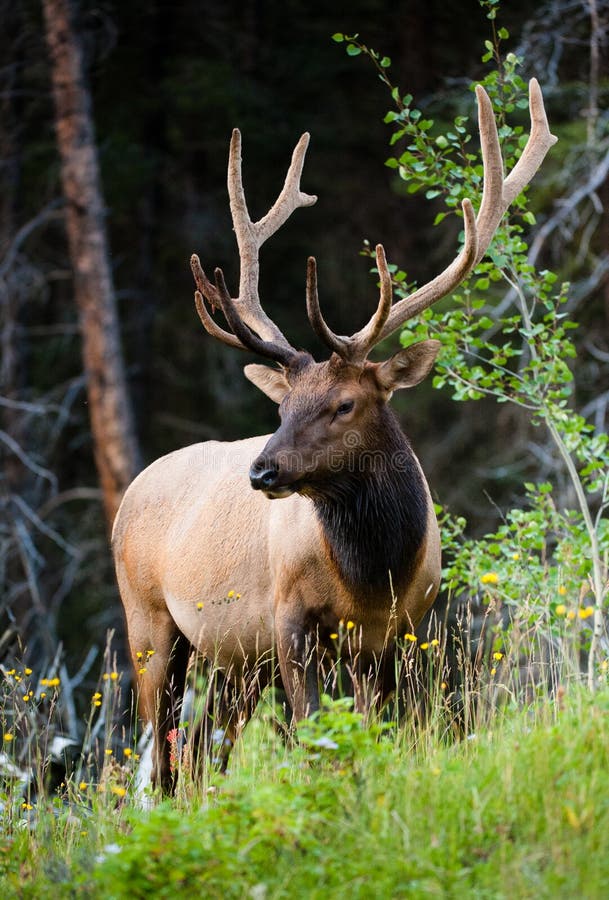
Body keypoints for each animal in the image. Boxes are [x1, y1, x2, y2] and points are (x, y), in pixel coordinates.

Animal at [111, 81, 552, 792]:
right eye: (283, 405)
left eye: (344, 404)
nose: (262, 471)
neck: (370, 577)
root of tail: (131, 491)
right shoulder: (288, 621)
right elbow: (317, 737)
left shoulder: (397, 631)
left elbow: (373, 737)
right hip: (150, 622)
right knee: (162, 757)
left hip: (233, 661)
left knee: (203, 751)